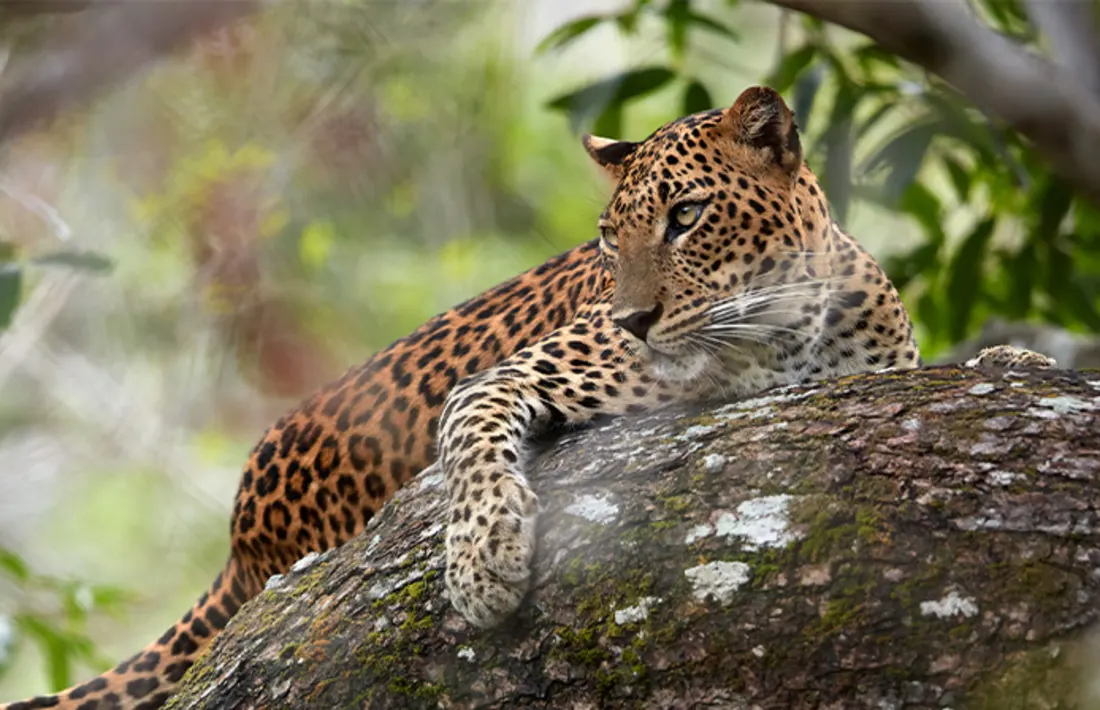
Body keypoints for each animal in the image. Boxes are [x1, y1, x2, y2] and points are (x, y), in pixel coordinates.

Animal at [2, 85, 1052, 710]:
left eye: (687, 217)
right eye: (609, 237)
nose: (633, 318)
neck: (787, 324)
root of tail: (240, 535)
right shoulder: (512, 377)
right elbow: (473, 442)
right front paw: (486, 564)